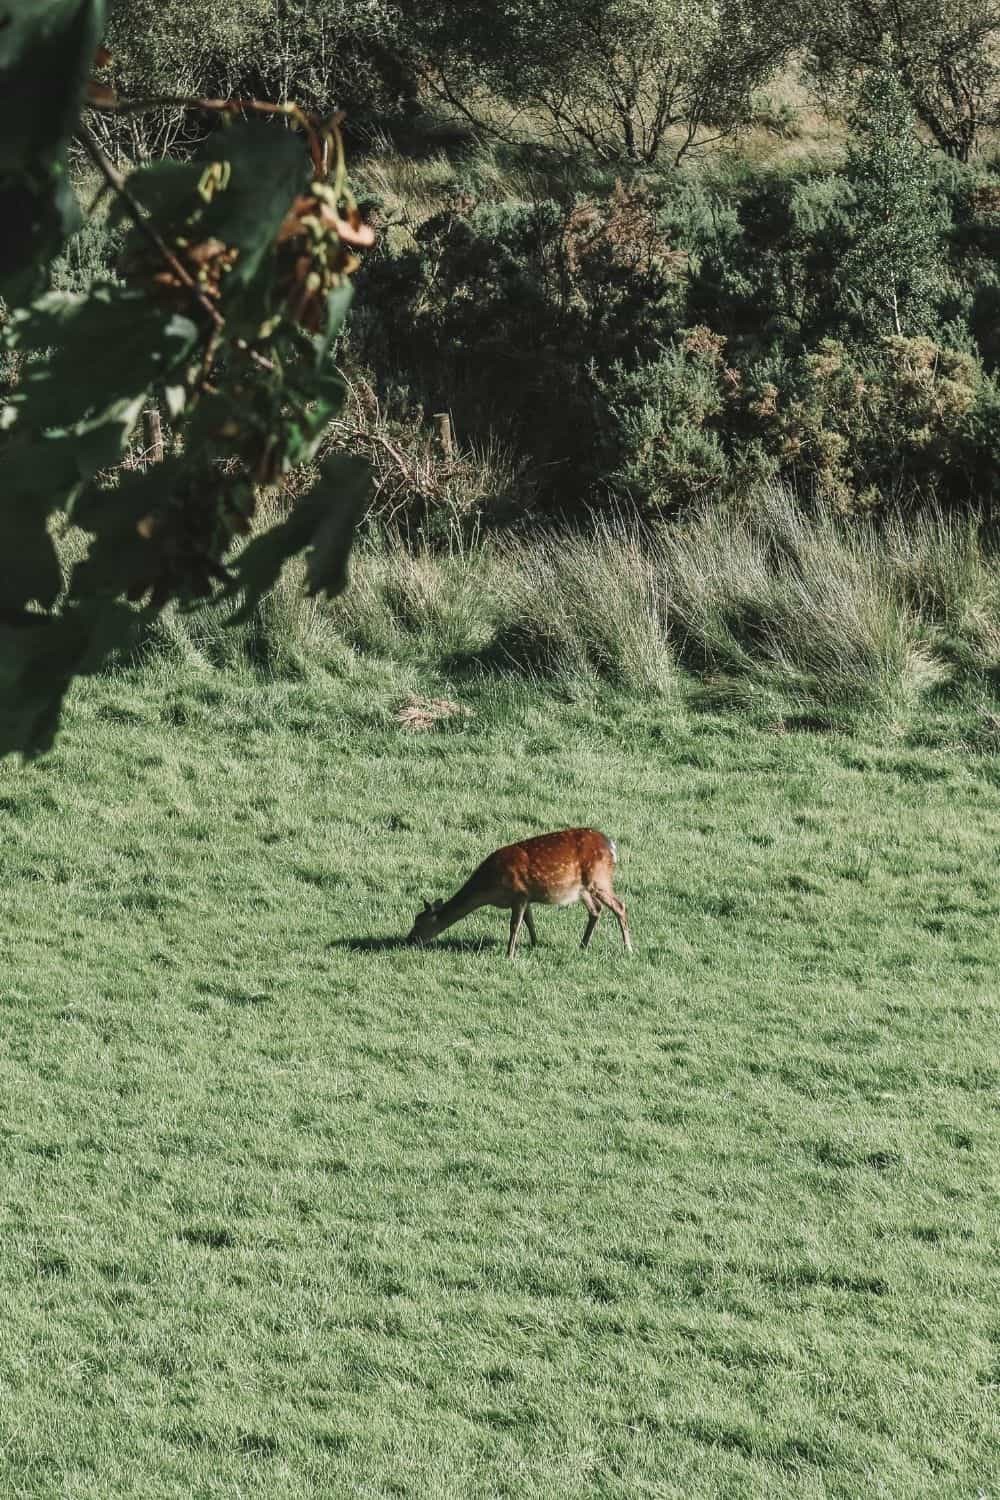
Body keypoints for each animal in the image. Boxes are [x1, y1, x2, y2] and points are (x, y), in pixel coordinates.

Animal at [407, 828, 632, 954]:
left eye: (419, 923)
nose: (409, 940)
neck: (491, 887)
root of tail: (612, 847)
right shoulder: (527, 897)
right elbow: (529, 921)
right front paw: (534, 943)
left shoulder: (519, 893)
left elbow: (514, 925)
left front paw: (510, 954)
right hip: (583, 888)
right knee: (596, 910)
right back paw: (583, 945)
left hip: (599, 878)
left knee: (620, 906)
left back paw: (628, 949)